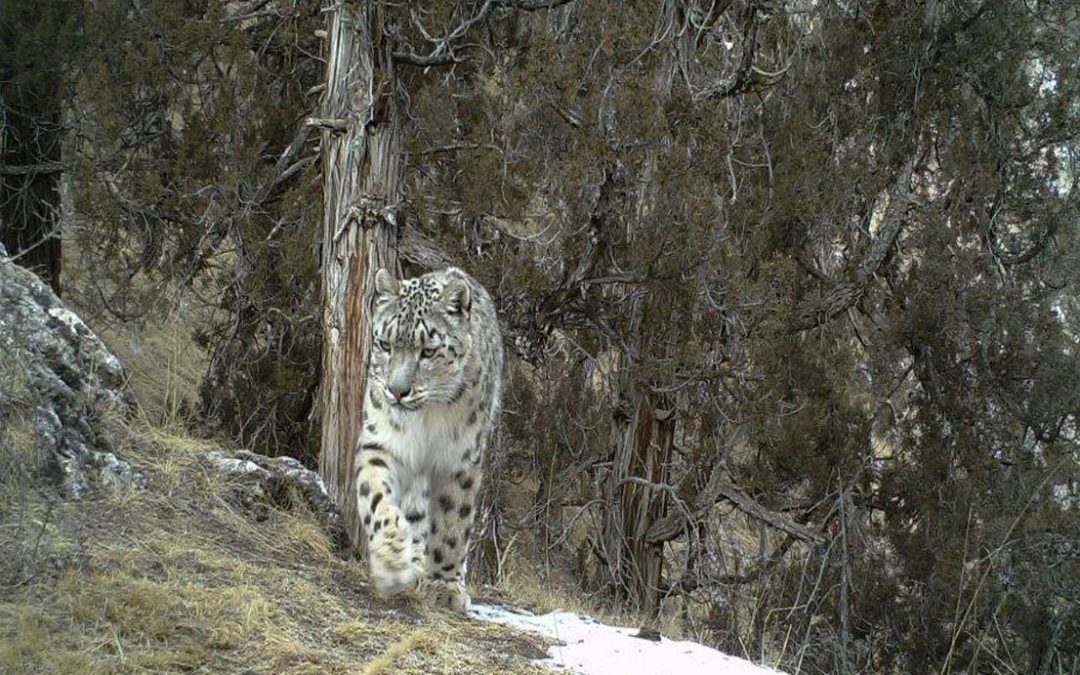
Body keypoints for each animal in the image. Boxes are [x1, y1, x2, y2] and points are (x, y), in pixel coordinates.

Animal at [355, 266, 504, 612]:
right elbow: (375, 495)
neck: (425, 421)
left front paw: (446, 585)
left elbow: (452, 524)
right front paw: (391, 555)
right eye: (385, 344)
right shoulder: (381, 444)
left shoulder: (458, 460)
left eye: (429, 351)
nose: (397, 390)